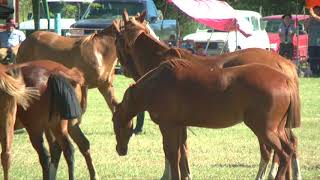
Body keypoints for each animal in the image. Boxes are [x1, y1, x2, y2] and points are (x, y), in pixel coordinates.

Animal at [113, 11, 302, 180]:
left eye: (118, 40)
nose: (120, 150)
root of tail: (285, 71)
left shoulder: (169, 125)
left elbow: (173, 153)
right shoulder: (180, 124)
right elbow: (182, 152)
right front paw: (186, 174)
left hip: (264, 129)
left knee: (277, 152)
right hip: (278, 128)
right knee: (290, 146)